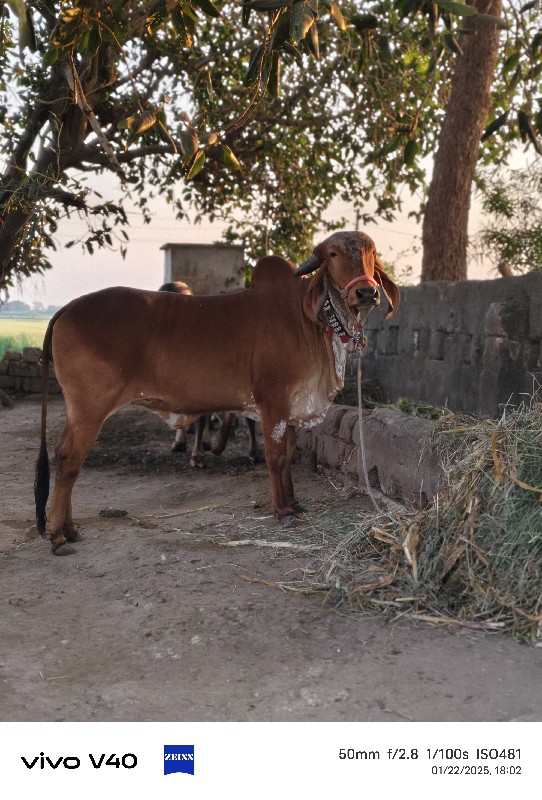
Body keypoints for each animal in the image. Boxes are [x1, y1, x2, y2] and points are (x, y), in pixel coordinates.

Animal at [35, 231, 400, 552]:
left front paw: (295, 502)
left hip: (78, 410)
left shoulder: (293, 409)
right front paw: (282, 510)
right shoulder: (274, 403)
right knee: (69, 459)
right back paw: (58, 535)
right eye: (334, 254)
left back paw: (69, 528)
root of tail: (68, 308)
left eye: (371, 254)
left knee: (64, 456)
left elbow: (289, 456)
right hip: (90, 406)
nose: (366, 293)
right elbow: (276, 457)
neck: (306, 318)